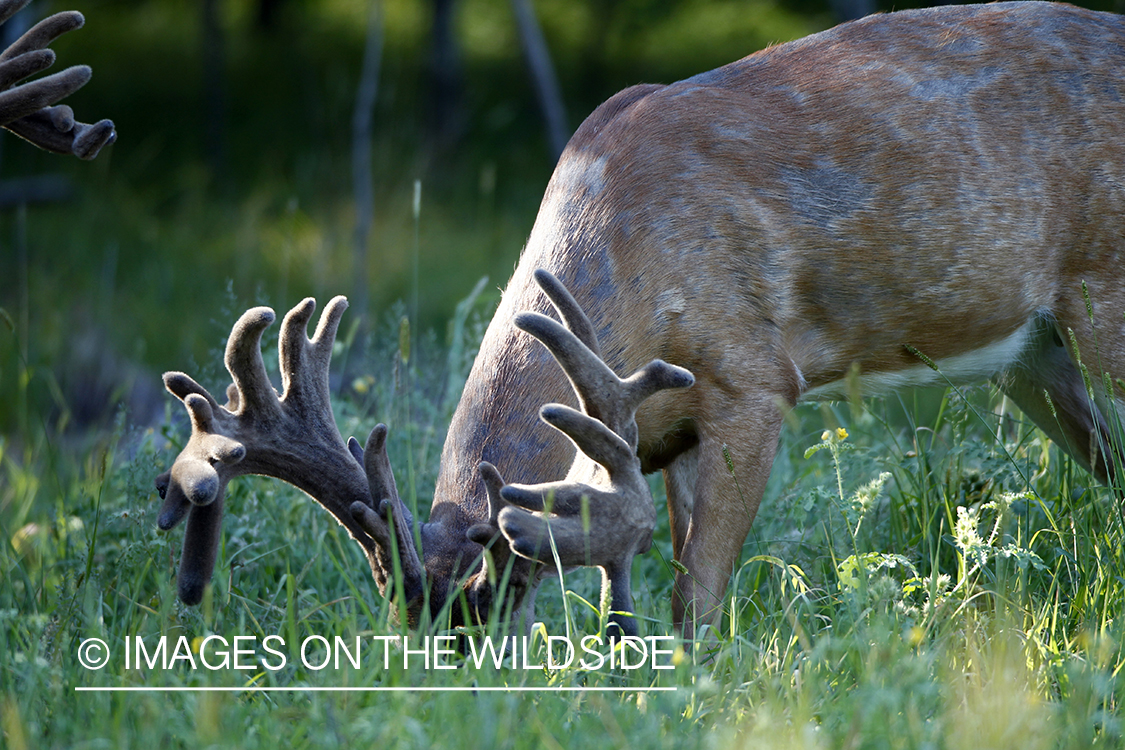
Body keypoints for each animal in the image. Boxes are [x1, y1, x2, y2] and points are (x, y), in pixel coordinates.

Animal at [156, 1, 1125, 638]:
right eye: (409, 631)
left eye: (490, 610)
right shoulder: (662, 430)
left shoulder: (750, 377)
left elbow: (696, 595)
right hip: (1036, 357)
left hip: (1103, 297)